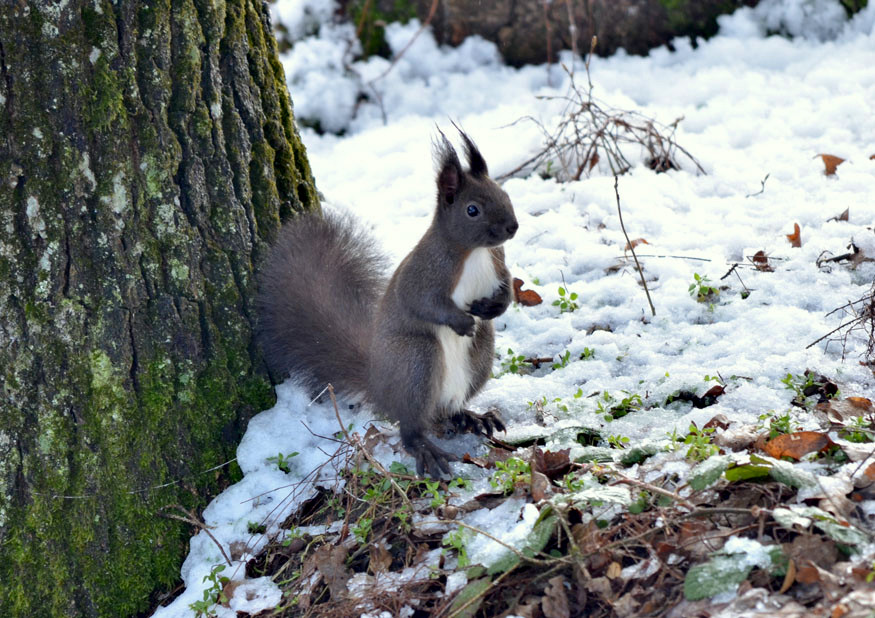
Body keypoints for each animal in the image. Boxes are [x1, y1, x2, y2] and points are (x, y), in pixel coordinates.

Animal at [260, 129, 520, 476]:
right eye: (472, 210)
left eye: (504, 194)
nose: (512, 227)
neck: (473, 252)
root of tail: (379, 384)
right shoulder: (423, 273)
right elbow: (421, 303)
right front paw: (462, 321)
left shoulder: (497, 263)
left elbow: (507, 288)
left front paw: (494, 307)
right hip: (416, 360)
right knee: (410, 427)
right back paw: (426, 448)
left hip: (480, 353)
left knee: (447, 408)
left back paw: (471, 417)